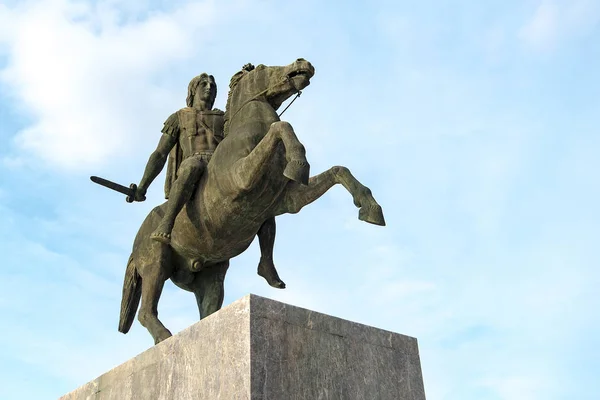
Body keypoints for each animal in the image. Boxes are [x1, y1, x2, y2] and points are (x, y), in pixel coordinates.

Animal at [119, 58, 386, 344]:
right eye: (262, 68)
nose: (303, 63)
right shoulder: (242, 179)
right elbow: (281, 127)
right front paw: (299, 161)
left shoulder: (288, 201)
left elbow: (338, 171)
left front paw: (370, 207)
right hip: (155, 264)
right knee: (146, 311)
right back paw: (165, 334)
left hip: (211, 275)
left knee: (208, 309)